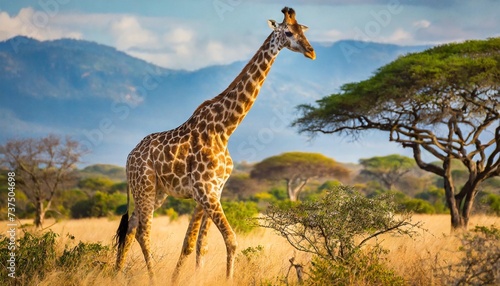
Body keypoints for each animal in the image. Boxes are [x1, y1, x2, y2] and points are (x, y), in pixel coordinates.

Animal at [115, 6, 314, 282]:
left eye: (302, 30)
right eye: (287, 32)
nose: (311, 51)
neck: (225, 129)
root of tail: (128, 157)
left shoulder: (213, 192)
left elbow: (197, 245)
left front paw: (184, 278)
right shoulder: (206, 191)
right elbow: (230, 240)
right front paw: (227, 279)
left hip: (157, 192)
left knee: (131, 226)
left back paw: (116, 273)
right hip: (144, 186)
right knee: (144, 232)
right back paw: (152, 278)